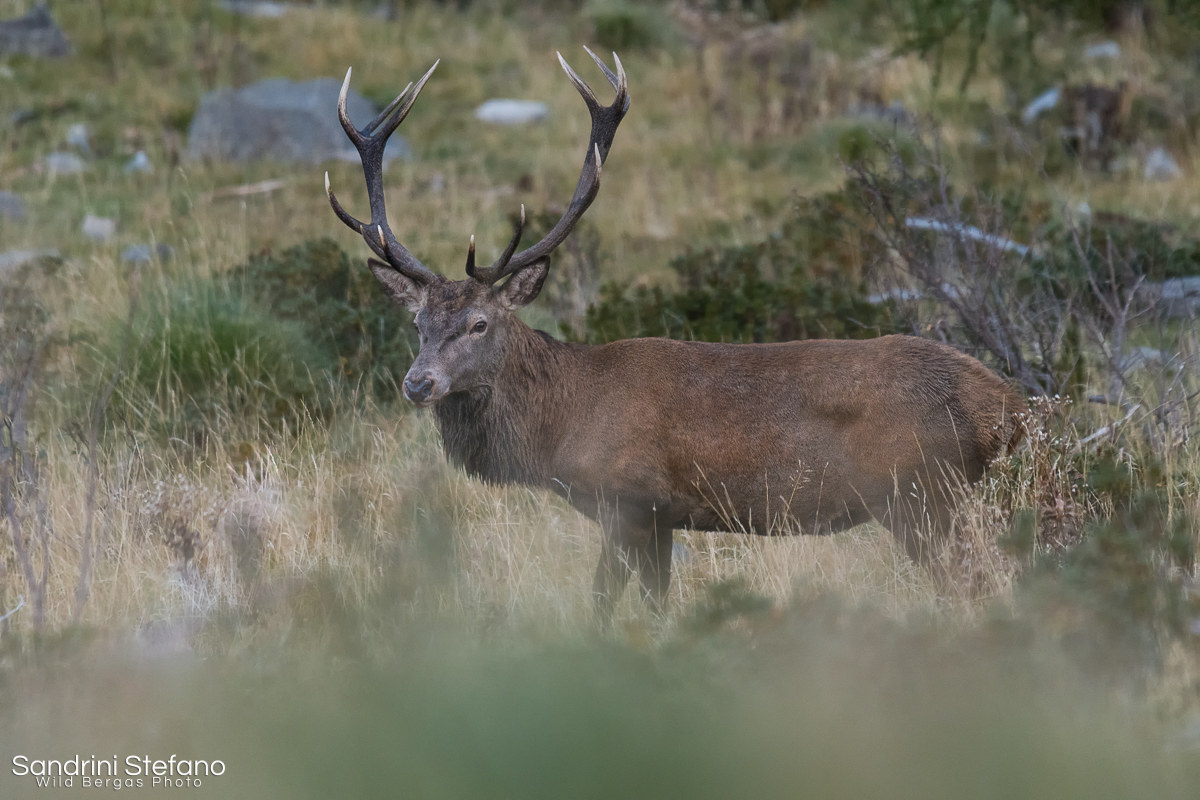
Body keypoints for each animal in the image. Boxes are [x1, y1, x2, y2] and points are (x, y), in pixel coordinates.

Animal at [325, 49, 1026, 622]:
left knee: (980, 582)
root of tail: (1008, 406)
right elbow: (658, 608)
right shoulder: (663, 523)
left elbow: (603, 605)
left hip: (921, 495)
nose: (419, 383)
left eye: (479, 323)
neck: (563, 423)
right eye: (418, 323)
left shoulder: (629, 501)